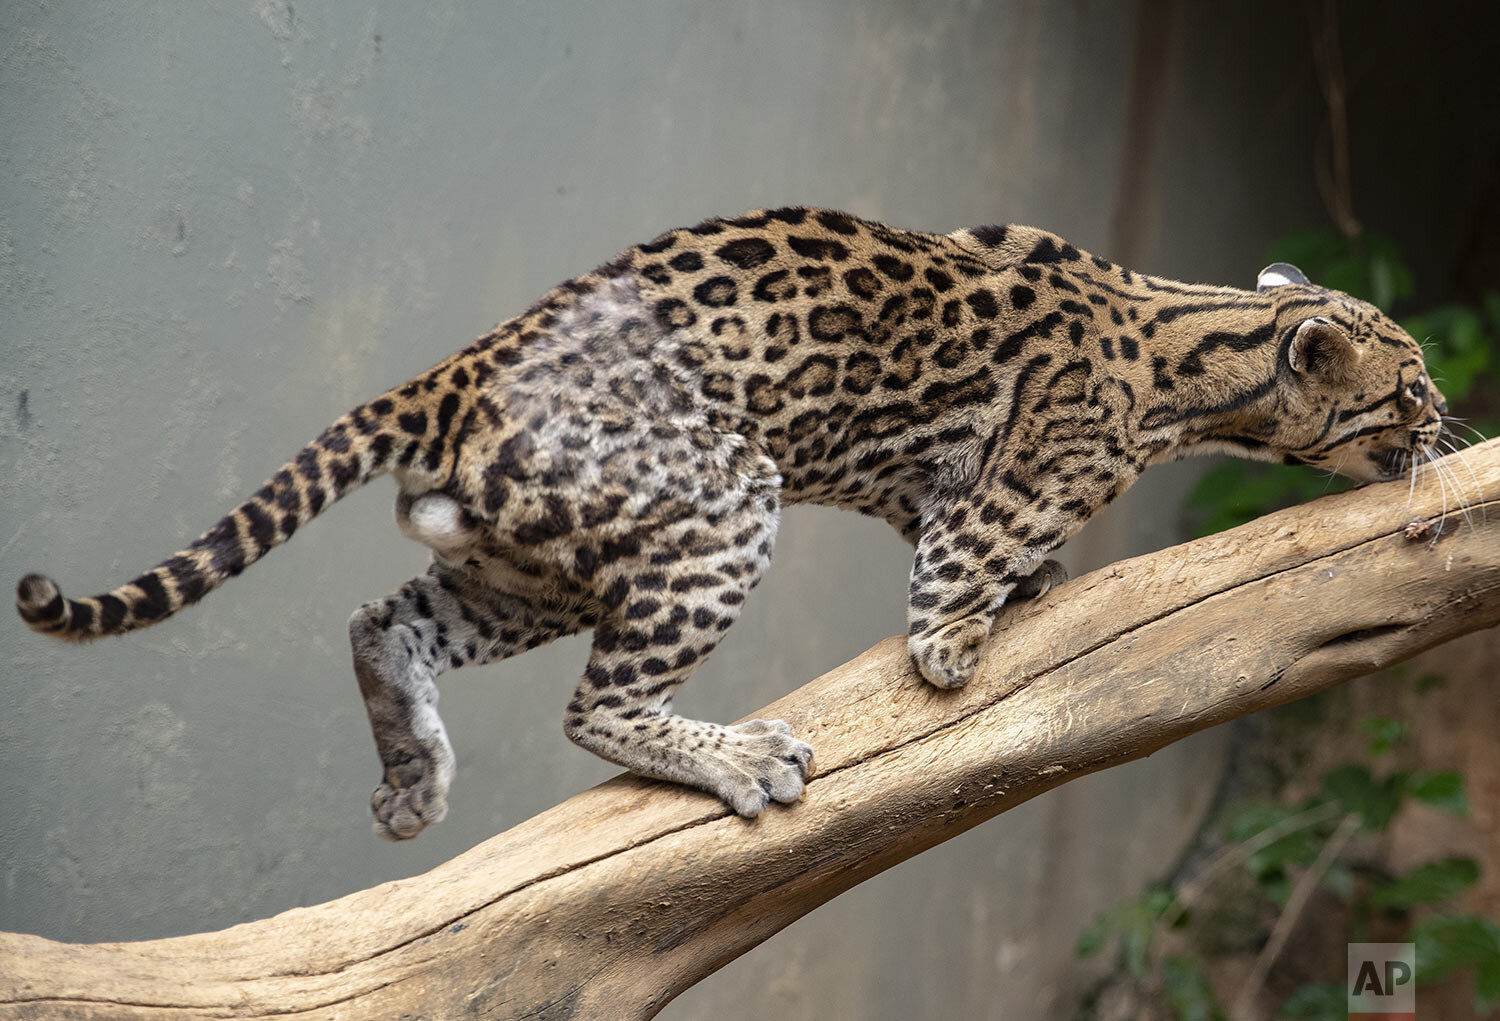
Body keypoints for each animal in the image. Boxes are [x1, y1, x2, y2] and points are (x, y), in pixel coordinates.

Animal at [8, 206, 1440, 833]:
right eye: (1415, 386)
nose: (1447, 427)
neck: (1201, 345)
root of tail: (460, 368)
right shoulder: (976, 519)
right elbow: (947, 618)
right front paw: (988, 629)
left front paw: (1037, 589)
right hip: (718, 506)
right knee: (594, 707)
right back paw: (740, 757)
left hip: (530, 560)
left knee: (379, 618)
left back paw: (413, 777)